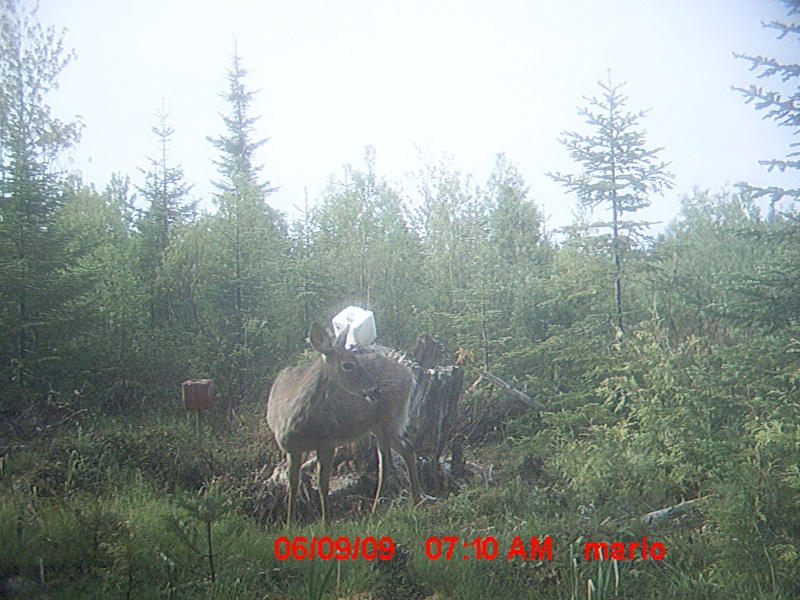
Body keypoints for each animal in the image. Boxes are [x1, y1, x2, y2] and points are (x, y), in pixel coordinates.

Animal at [266, 322, 422, 524]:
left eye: (356, 359)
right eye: (347, 365)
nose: (375, 390)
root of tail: (409, 374)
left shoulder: (327, 441)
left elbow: (323, 484)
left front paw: (326, 524)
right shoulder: (290, 448)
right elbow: (293, 484)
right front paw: (289, 524)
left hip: (390, 418)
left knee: (389, 461)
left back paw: (380, 508)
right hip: (380, 426)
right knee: (403, 450)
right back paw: (414, 500)